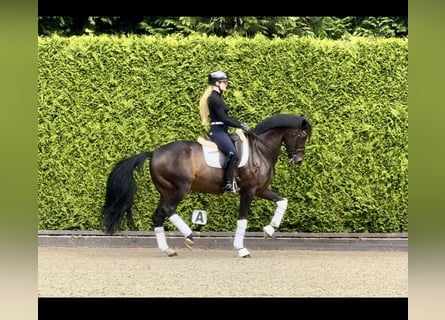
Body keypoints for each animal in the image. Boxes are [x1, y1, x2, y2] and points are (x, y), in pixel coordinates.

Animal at [103, 112, 312, 258]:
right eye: (300, 135)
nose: (299, 160)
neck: (260, 150)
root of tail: (154, 152)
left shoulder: (261, 189)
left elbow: (283, 201)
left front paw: (269, 230)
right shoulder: (249, 191)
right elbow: (243, 219)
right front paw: (241, 249)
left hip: (166, 190)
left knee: (158, 216)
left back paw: (168, 250)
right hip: (179, 188)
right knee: (168, 210)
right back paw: (189, 236)